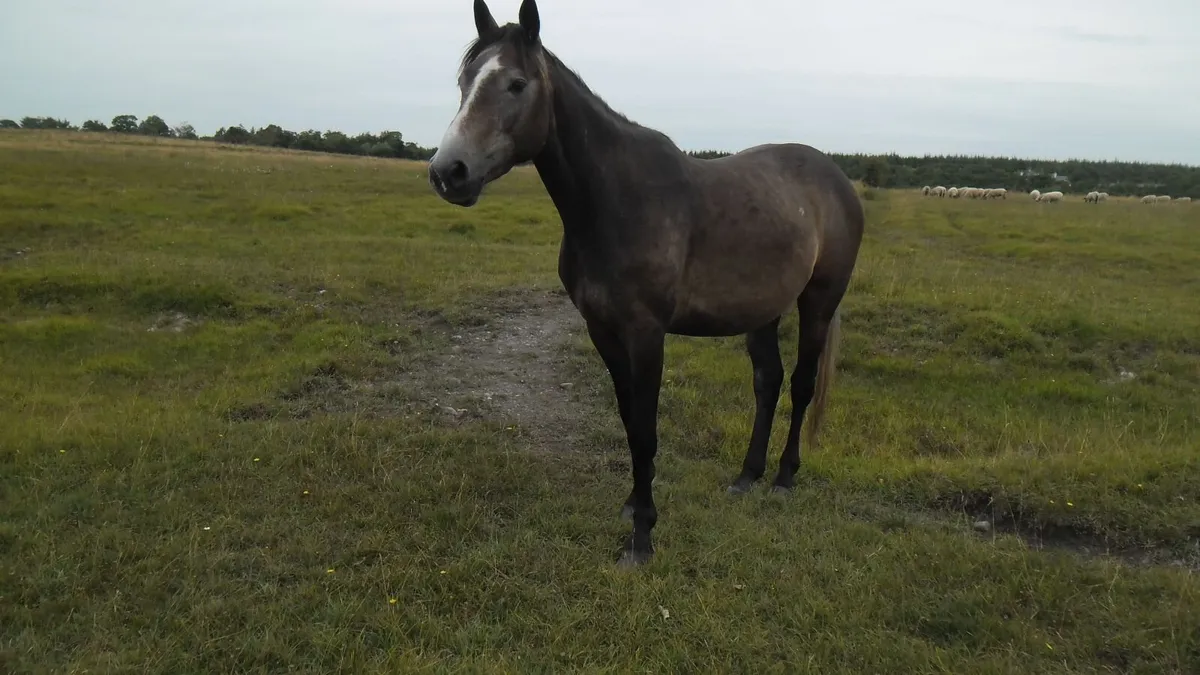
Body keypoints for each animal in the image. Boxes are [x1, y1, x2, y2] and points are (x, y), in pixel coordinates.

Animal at [427, 0, 865, 567]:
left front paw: (642, 537)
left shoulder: (646, 334)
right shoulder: (603, 331)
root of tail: (837, 179)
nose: (448, 172)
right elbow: (628, 419)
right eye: (464, 81)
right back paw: (747, 476)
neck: (615, 202)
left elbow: (645, 431)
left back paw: (784, 480)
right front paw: (633, 507)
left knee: (802, 384)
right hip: (762, 311)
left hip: (818, 302)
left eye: (516, 84)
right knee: (767, 382)